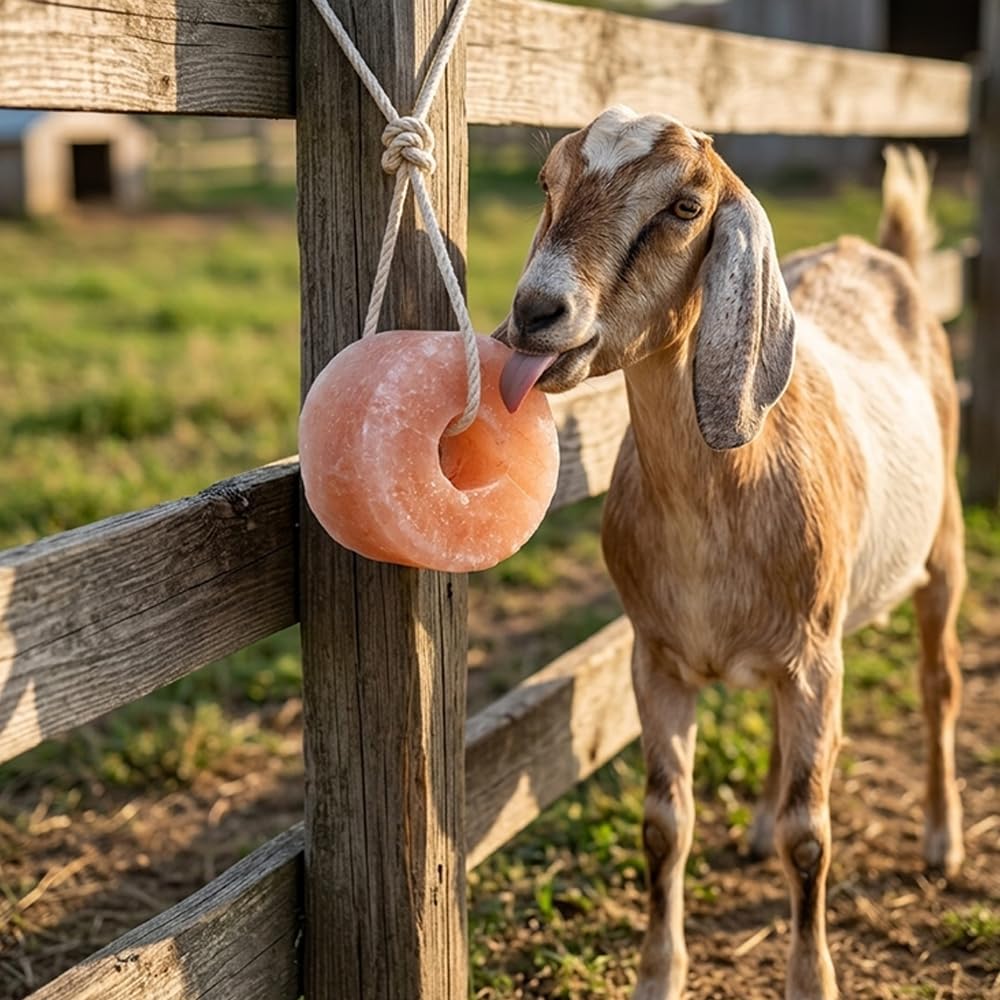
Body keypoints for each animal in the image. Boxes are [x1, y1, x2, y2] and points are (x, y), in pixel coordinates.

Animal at [496, 107, 965, 1000]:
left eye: (684, 207)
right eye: (546, 181)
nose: (537, 311)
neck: (715, 507)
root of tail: (879, 250)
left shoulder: (815, 660)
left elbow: (811, 836)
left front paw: (812, 982)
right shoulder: (657, 660)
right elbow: (662, 824)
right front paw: (657, 976)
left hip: (942, 549)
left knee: (938, 685)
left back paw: (941, 839)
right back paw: (757, 823)